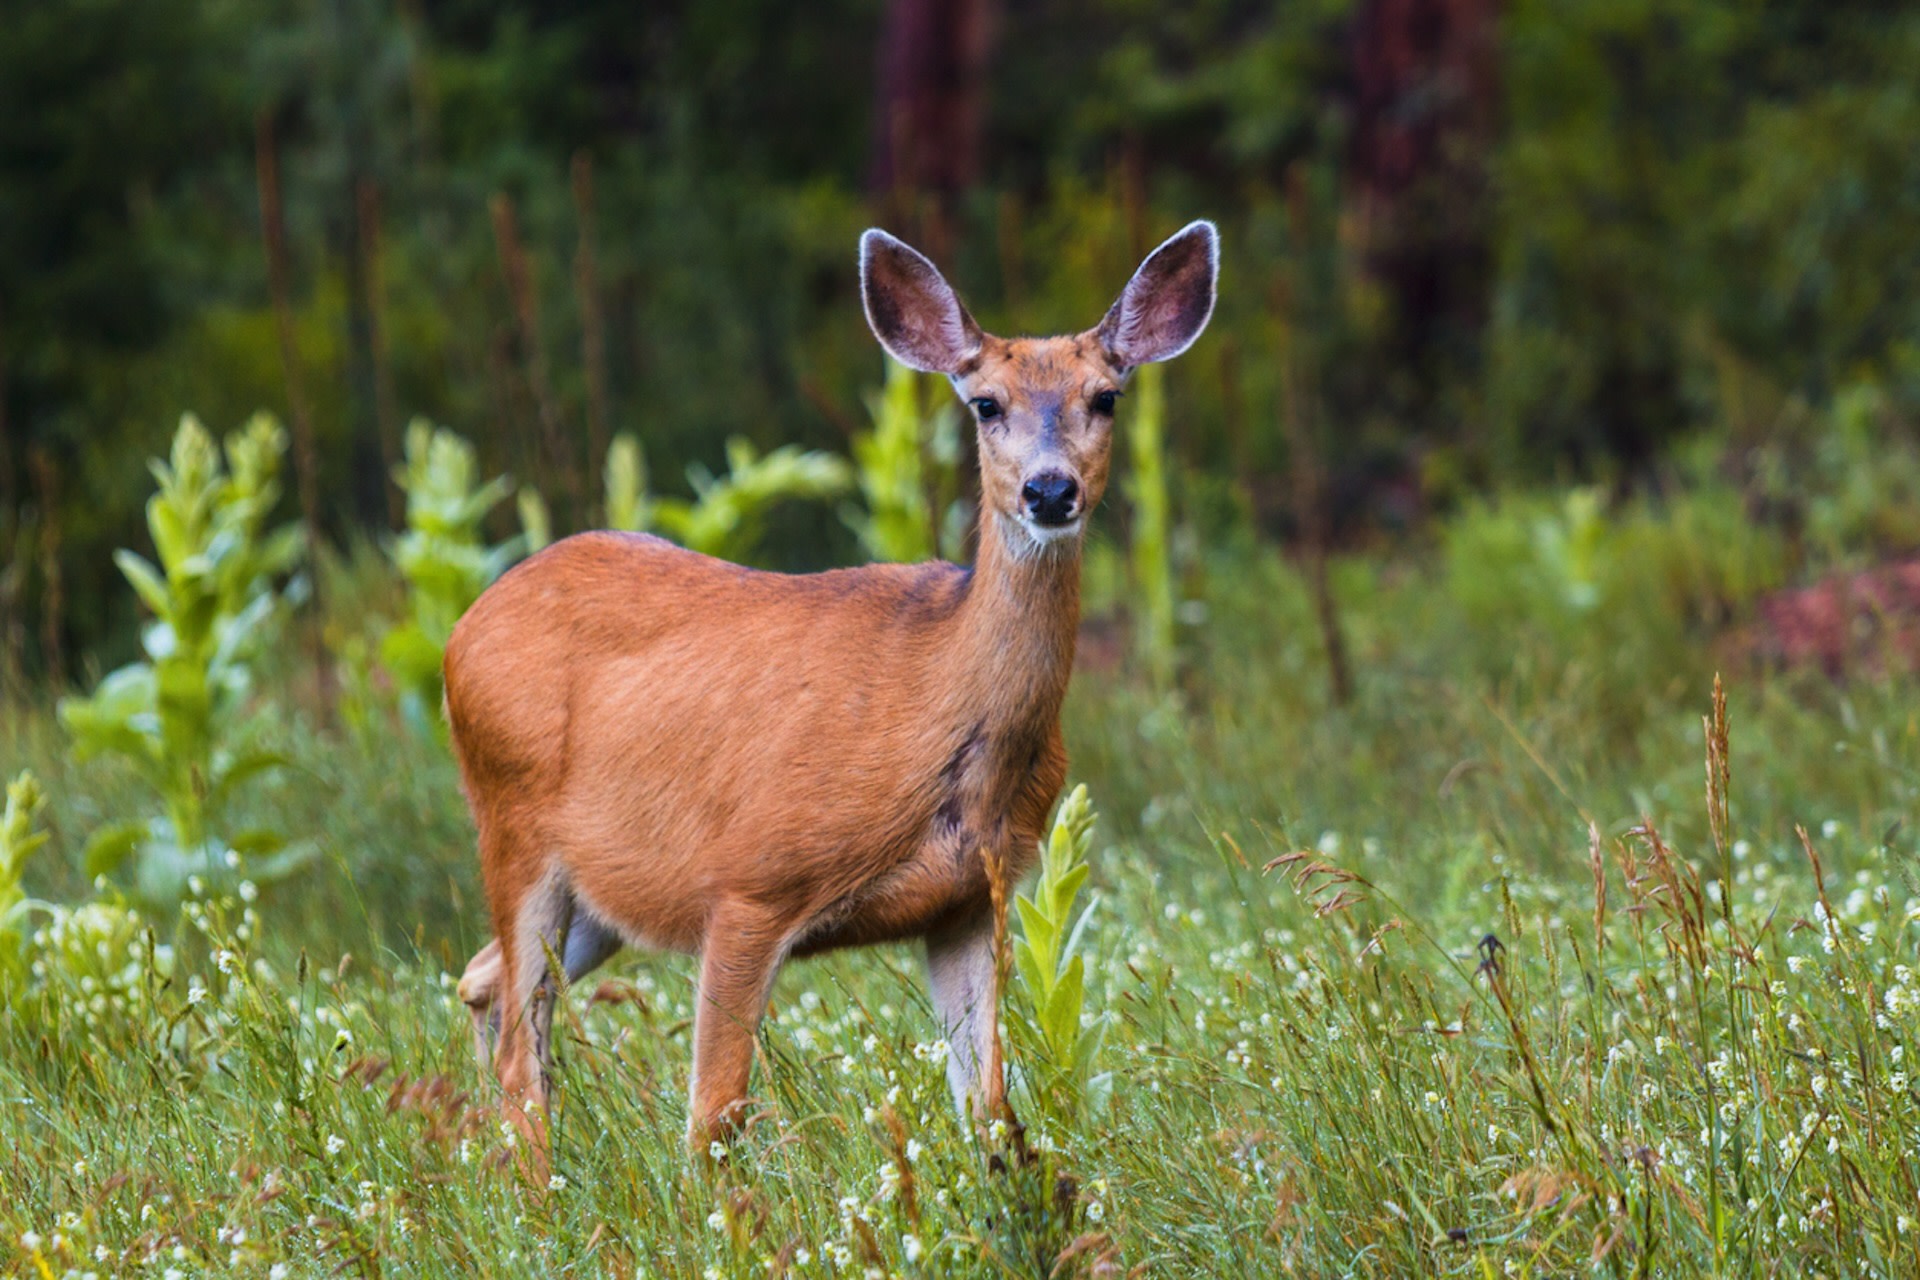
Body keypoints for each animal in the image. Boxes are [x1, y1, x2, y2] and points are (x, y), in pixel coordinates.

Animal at [449, 222, 1213, 1174]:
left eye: (1106, 398)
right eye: (985, 404)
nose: (1049, 490)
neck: (938, 708)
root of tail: (462, 629)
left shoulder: (971, 897)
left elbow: (992, 1110)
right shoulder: (749, 881)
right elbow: (713, 1119)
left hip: (601, 886)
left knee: (482, 984)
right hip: (513, 821)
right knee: (522, 1046)